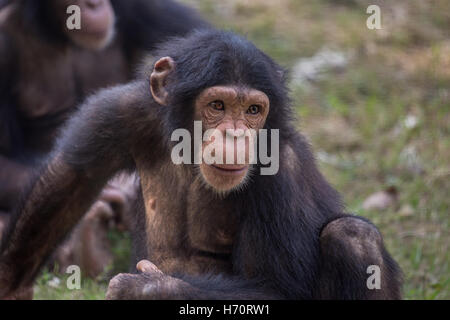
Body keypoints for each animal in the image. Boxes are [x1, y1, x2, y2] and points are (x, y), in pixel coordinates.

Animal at [0, 30, 402, 300]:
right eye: (218, 106)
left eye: (253, 110)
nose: (236, 135)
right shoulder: (121, 110)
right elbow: (69, 180)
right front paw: (10, 283)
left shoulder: (284, 168)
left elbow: (280, 289)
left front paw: (149, 289)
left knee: (352, 235)